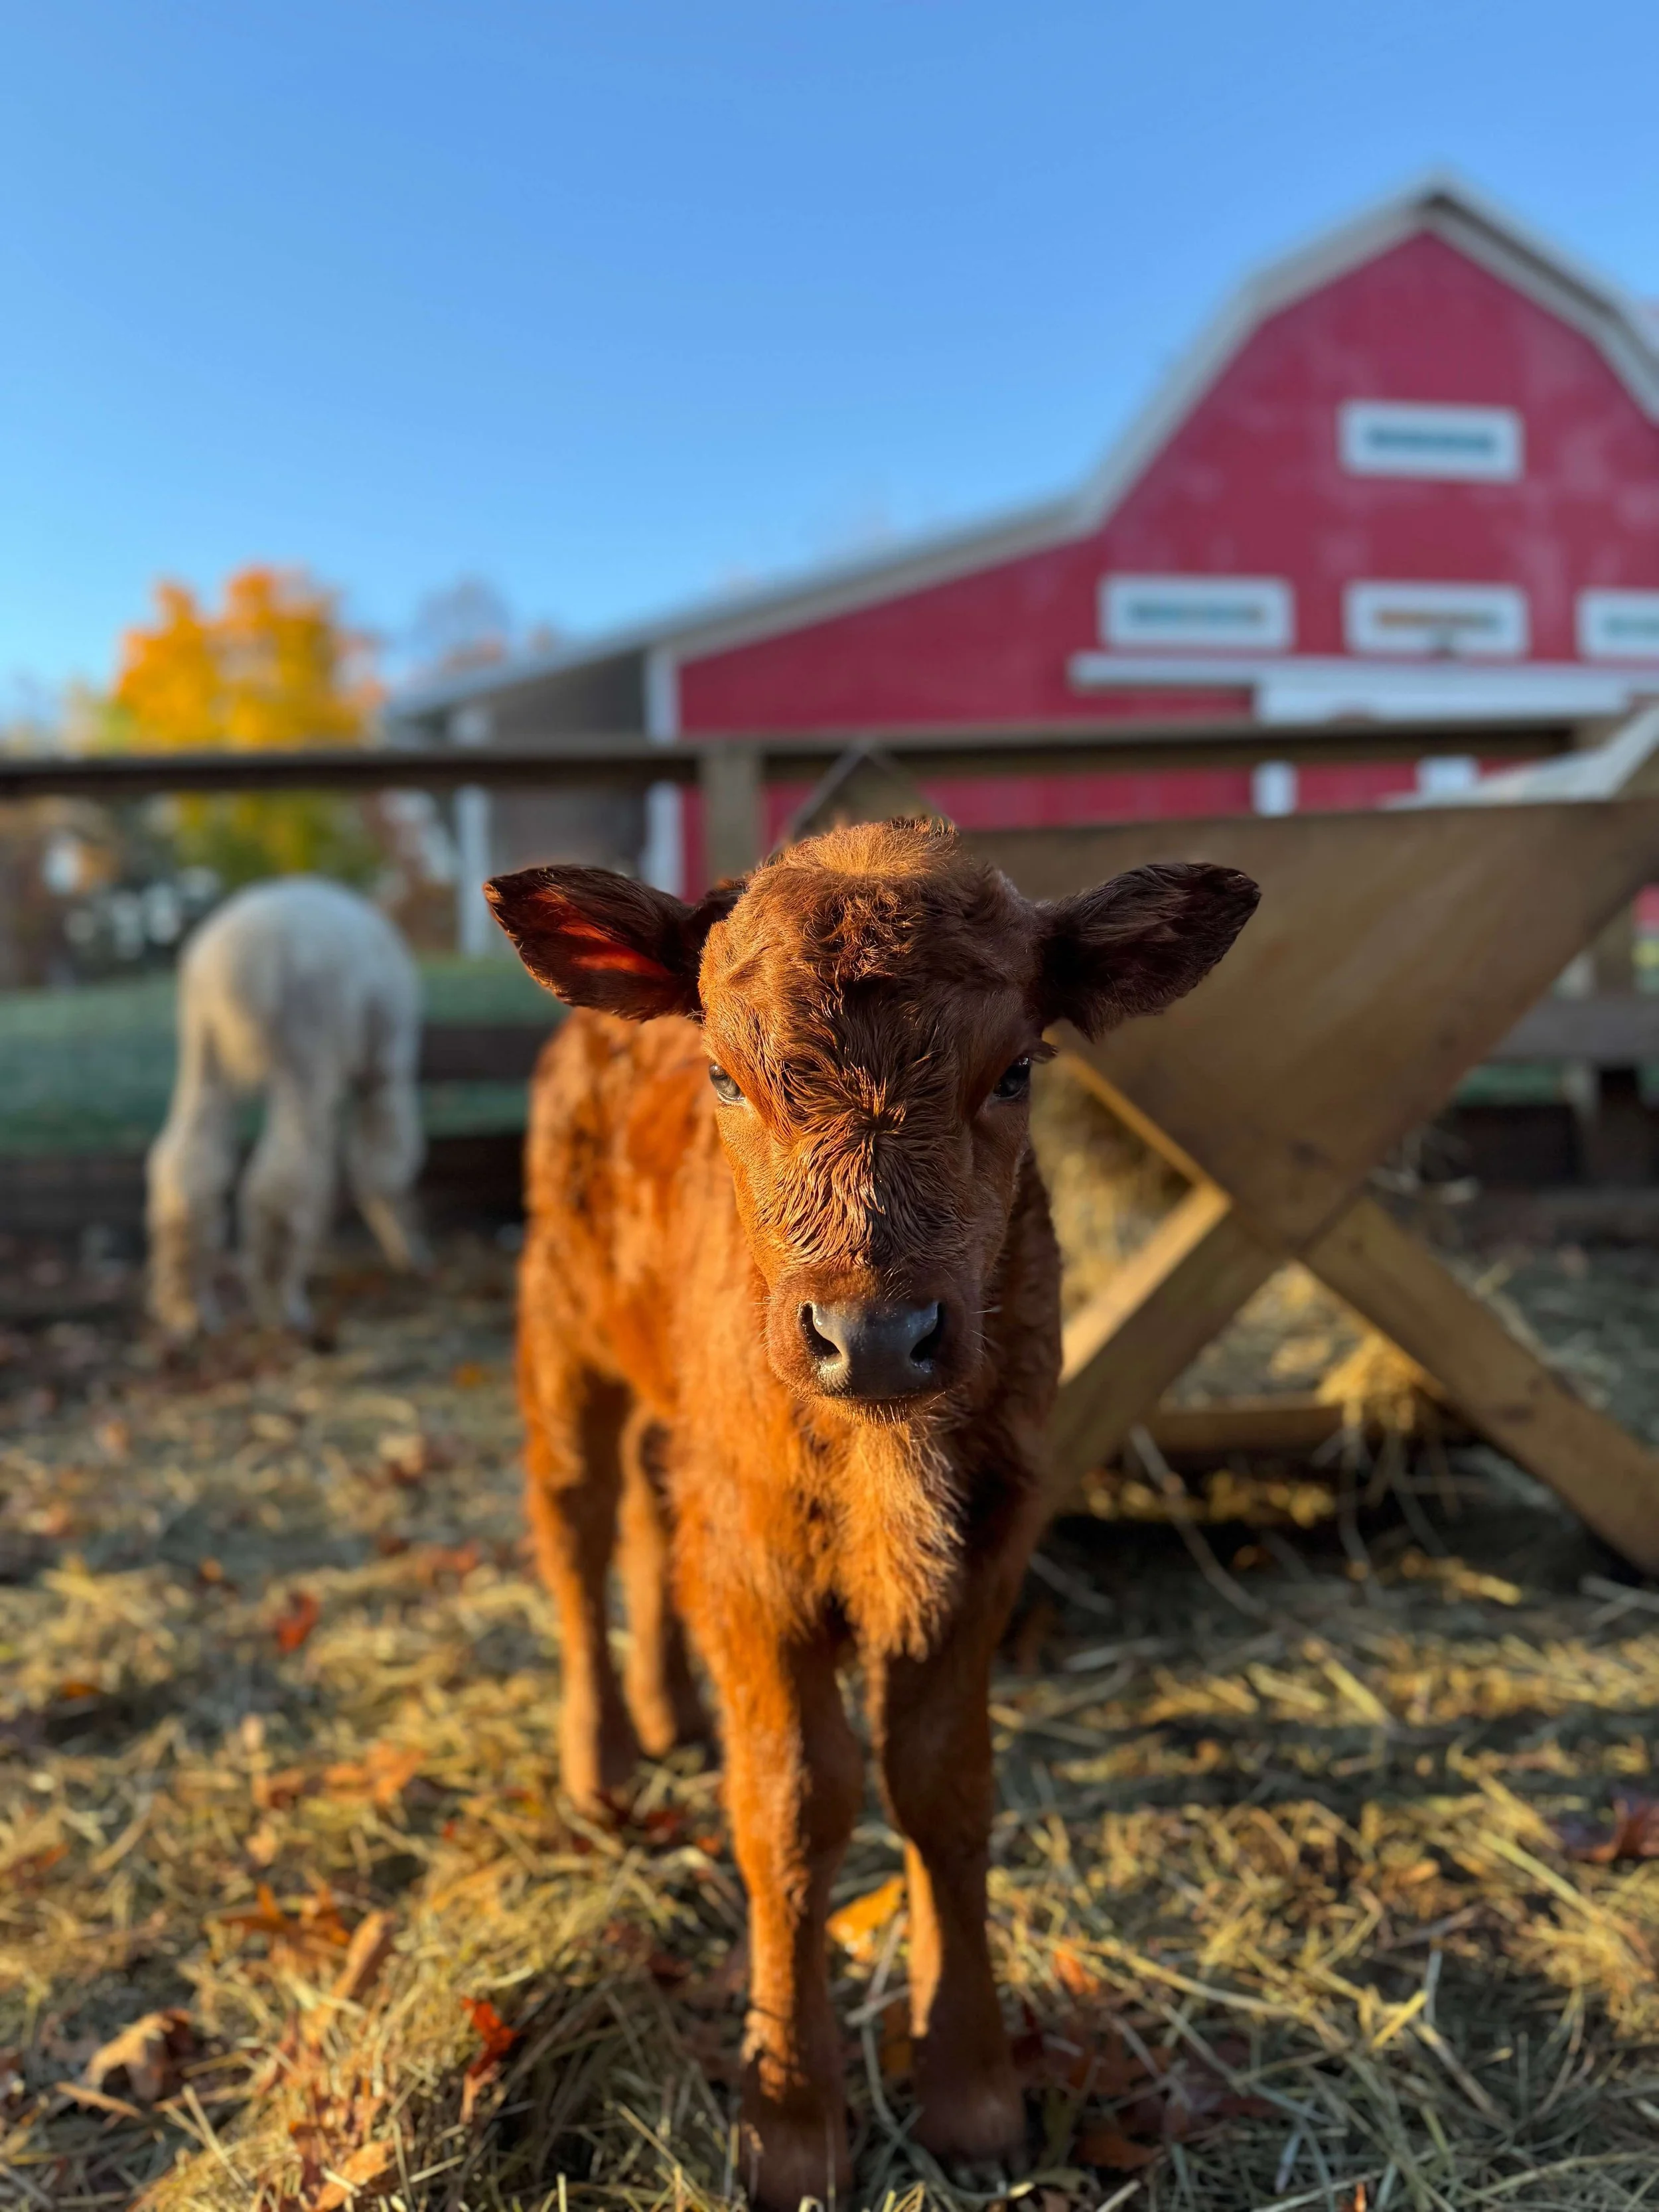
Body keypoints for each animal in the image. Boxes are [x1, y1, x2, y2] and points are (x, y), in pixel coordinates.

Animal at [486, 818, 1257, 2208]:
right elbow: (793, 1807)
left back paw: (669, 1713)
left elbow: (941, 1785)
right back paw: (605, 1760)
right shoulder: (758, 1567)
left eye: (1016, 1071)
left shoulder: (985, 1545)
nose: (877, 1333)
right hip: (560, 1339)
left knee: (648, 1519)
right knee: (577, 1524)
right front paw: (790, 2124)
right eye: (726, 1077)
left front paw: (973, 2092)